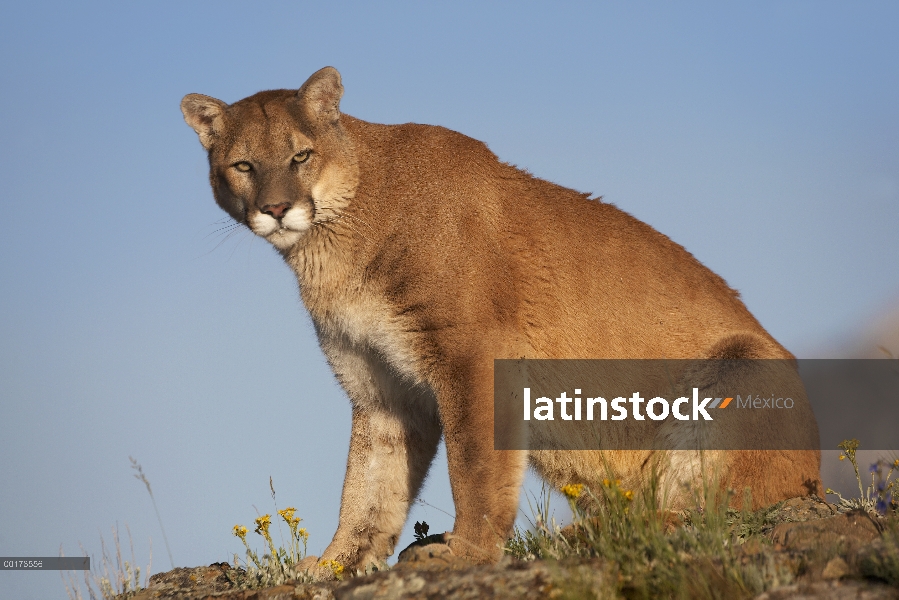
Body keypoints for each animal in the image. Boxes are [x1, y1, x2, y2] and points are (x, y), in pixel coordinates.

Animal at [183, 68, 824, 576]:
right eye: (243, 164)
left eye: (300, 155)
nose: (274, 208)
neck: (331, 247)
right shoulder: (381, 388)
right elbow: (368, 488)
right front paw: (337, 563)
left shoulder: (472, 356)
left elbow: (474, 467)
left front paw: (468, 551)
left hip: (744, 366)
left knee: (719, 511)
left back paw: (578, 535)